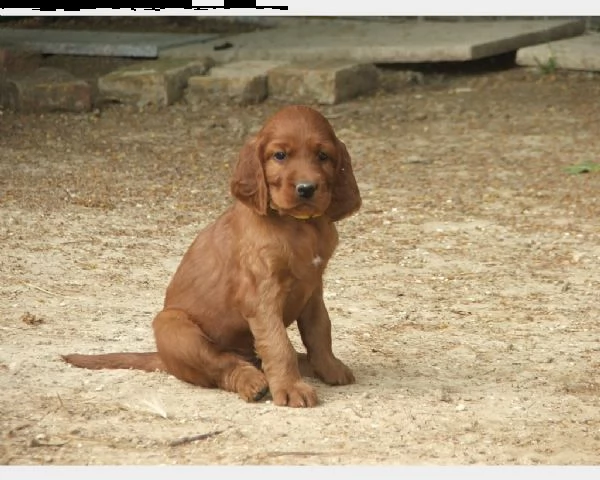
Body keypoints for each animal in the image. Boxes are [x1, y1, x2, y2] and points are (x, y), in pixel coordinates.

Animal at [62, 106, 358, 408]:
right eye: (280, 155)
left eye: (323, 156)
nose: (306, 188)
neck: (299, 226)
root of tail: (164, 359)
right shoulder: (261, 296)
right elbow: (278, 344)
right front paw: (291, 388)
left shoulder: (313, 289)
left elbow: (320, 331)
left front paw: (329, 367)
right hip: (173, 326)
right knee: (223, 366)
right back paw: (252, 382)